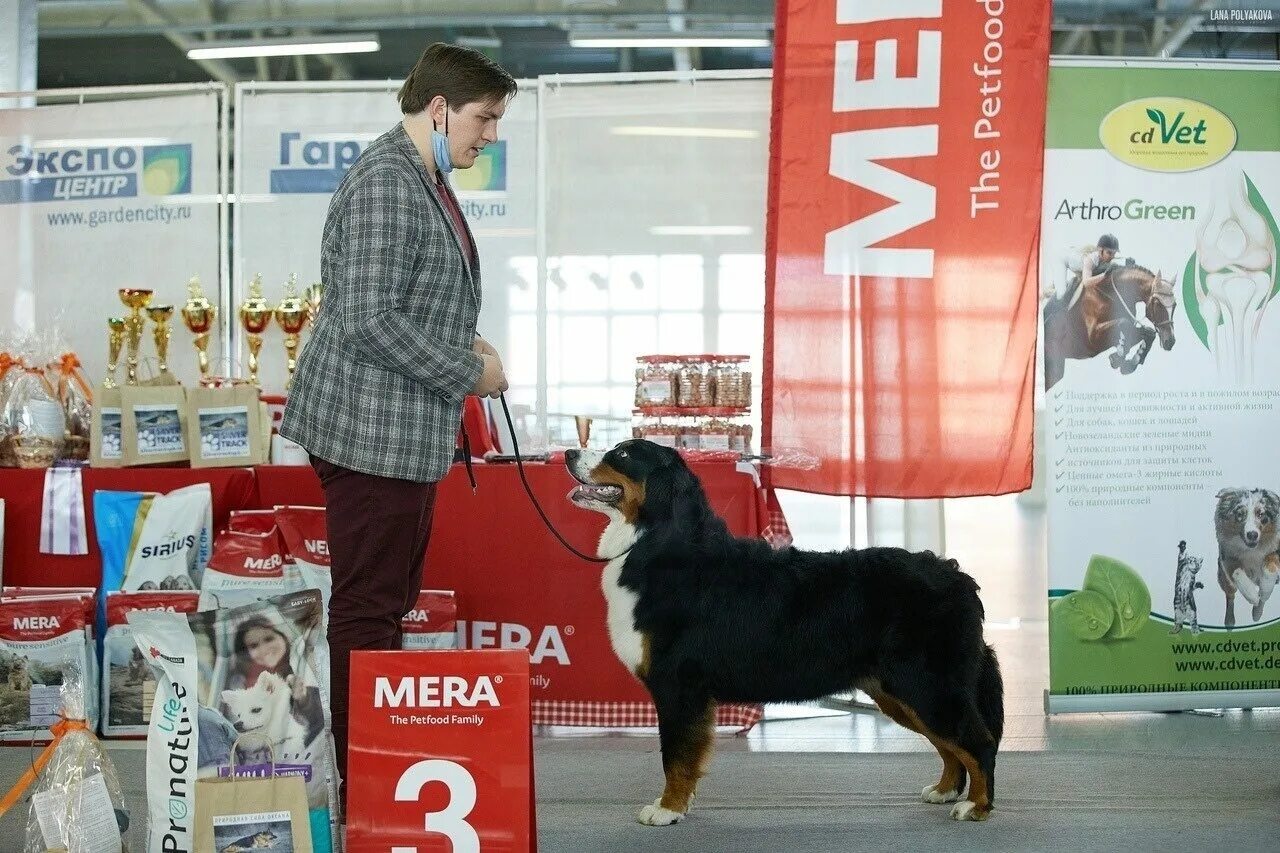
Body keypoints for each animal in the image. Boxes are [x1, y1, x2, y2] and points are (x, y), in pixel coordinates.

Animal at [565, 438, 1003, 819]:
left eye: (622, 454)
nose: (568, 452)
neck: (657, 542)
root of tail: (958, 577)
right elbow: (682, 755)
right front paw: (675, 805)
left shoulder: (678, 684)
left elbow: (675, 755)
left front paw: (668, 810)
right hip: (902, 691)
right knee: (950, 745)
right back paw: (945, 790)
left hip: (925, 683)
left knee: (976, 741)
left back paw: (976, 807)